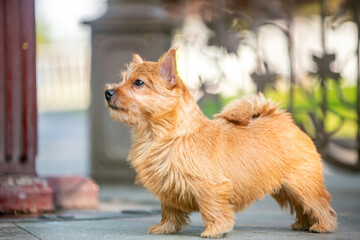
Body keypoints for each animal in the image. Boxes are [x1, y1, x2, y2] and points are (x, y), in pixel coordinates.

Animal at [104, 47, 338, 237]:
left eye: (139, 83)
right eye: (122, 79)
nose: (107, 92)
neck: (160, 135)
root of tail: (283, 118)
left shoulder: (210, 187)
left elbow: (212, 209)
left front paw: (215, 230)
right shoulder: (167, 184)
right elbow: (169, 210)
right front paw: (164, 228)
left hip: (302, 184)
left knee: (319, 203)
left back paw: (323, 226)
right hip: (286, 188)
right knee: (301, 206)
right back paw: (303, 224)